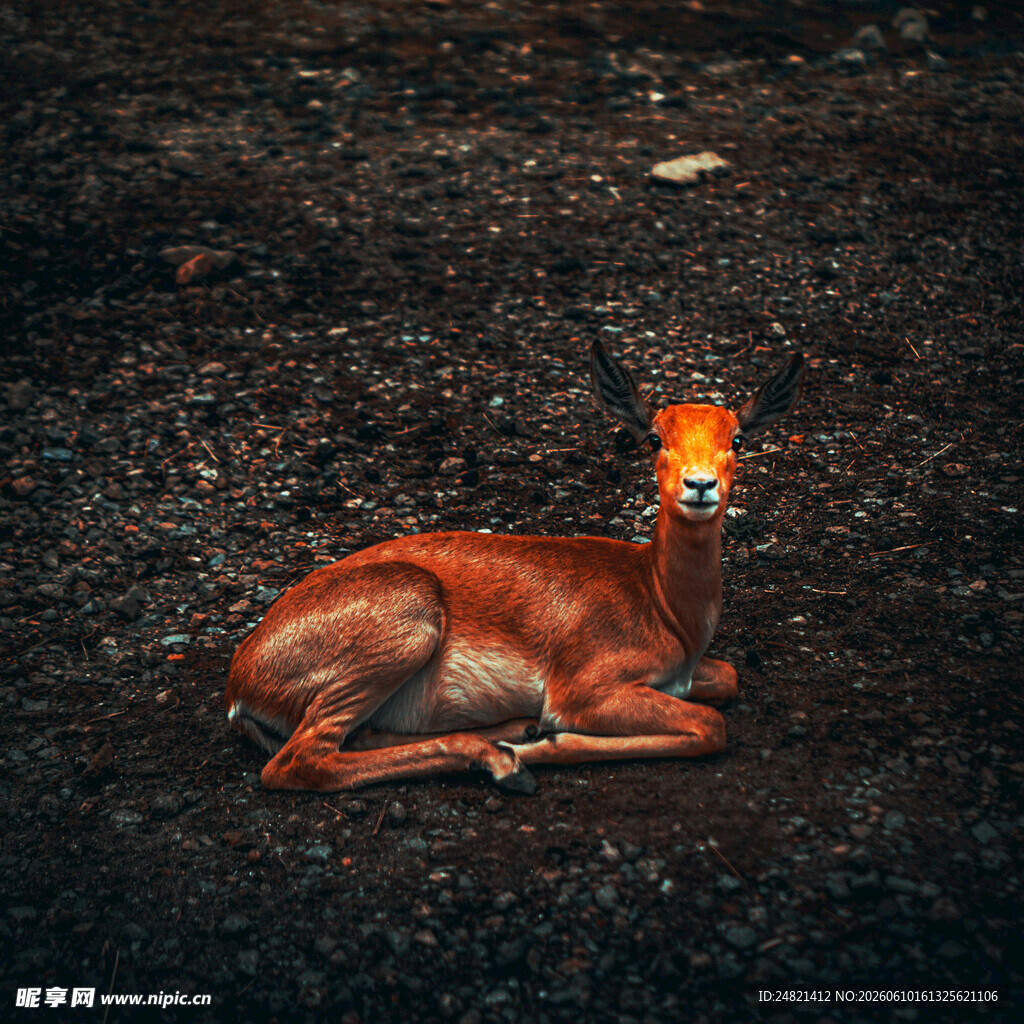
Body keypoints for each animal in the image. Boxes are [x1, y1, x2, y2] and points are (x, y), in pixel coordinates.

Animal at [225, 341, 803, 793]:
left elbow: (727, 679)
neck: (662, 605)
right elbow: (709, 726)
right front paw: (543, 744)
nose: (700, 484)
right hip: (405, 621)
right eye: (655, 438)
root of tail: (240, 681)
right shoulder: (583, 689)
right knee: (301, 761)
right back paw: (506, 760)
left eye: (737, 439)